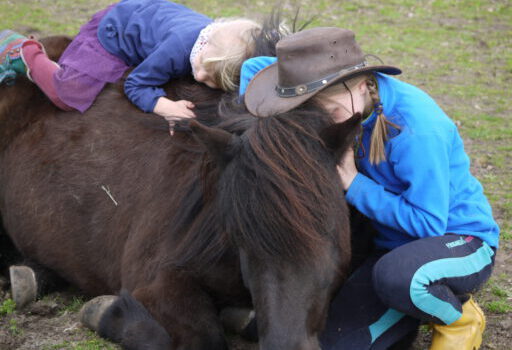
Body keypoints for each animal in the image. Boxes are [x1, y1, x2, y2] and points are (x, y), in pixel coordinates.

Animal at [0, 36, 360, 350]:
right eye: (242, 238)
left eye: (331, 233)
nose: (287, 344)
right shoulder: (158, 278)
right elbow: (202, 339)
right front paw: (106, 313)